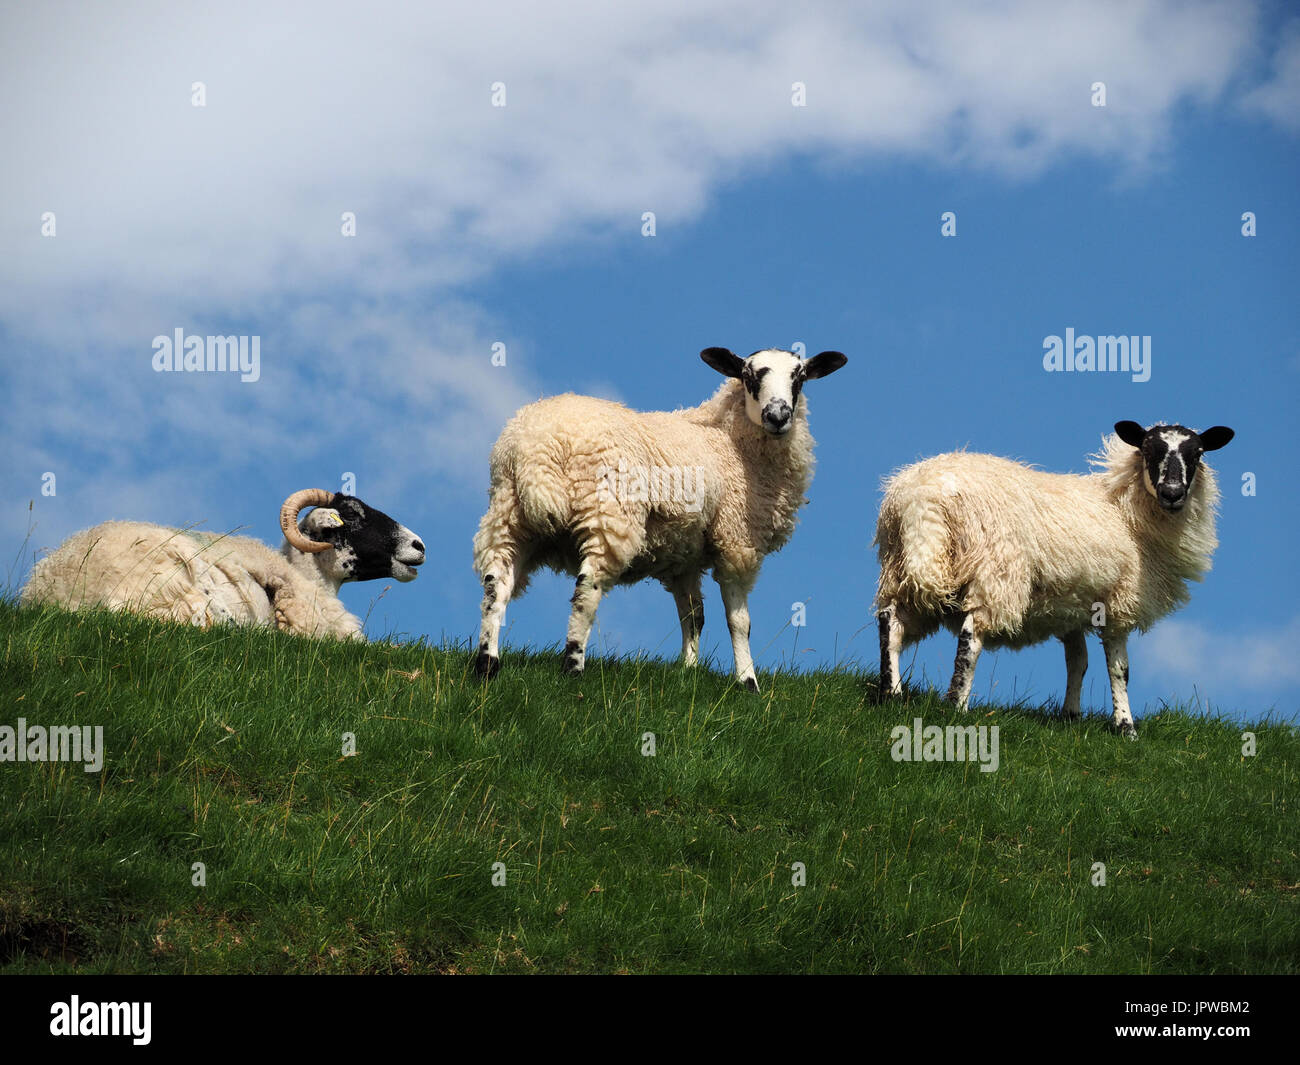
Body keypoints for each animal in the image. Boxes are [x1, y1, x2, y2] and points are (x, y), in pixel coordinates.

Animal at [471, 346, 848, 689]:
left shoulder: (685, 556)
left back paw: (487, 665)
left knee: (496, 587)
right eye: (748, 376)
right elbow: (739, 621)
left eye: (799, 377)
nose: (778, 415)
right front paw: (747, 682)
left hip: (508, 515)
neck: (730, 440)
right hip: (609, 516)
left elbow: (693, 615)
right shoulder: (737, 538)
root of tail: (535, 446)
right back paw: (572, 668)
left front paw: (688, 671)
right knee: (586, 591)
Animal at [873, 421, 1235, 738]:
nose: (1172, 492)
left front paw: (1070, 716)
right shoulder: (1119, 600)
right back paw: (956, 707)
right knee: (970, 637)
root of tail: (921, 500)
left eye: (1197, 453)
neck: (1128, 512)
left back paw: (892, 693)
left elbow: (1078, 662)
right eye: (1148, 449)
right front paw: (1126, 727)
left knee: (890, 621)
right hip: (994, 571)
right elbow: (1119, 670)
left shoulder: (1072, 606)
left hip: (906, 565)